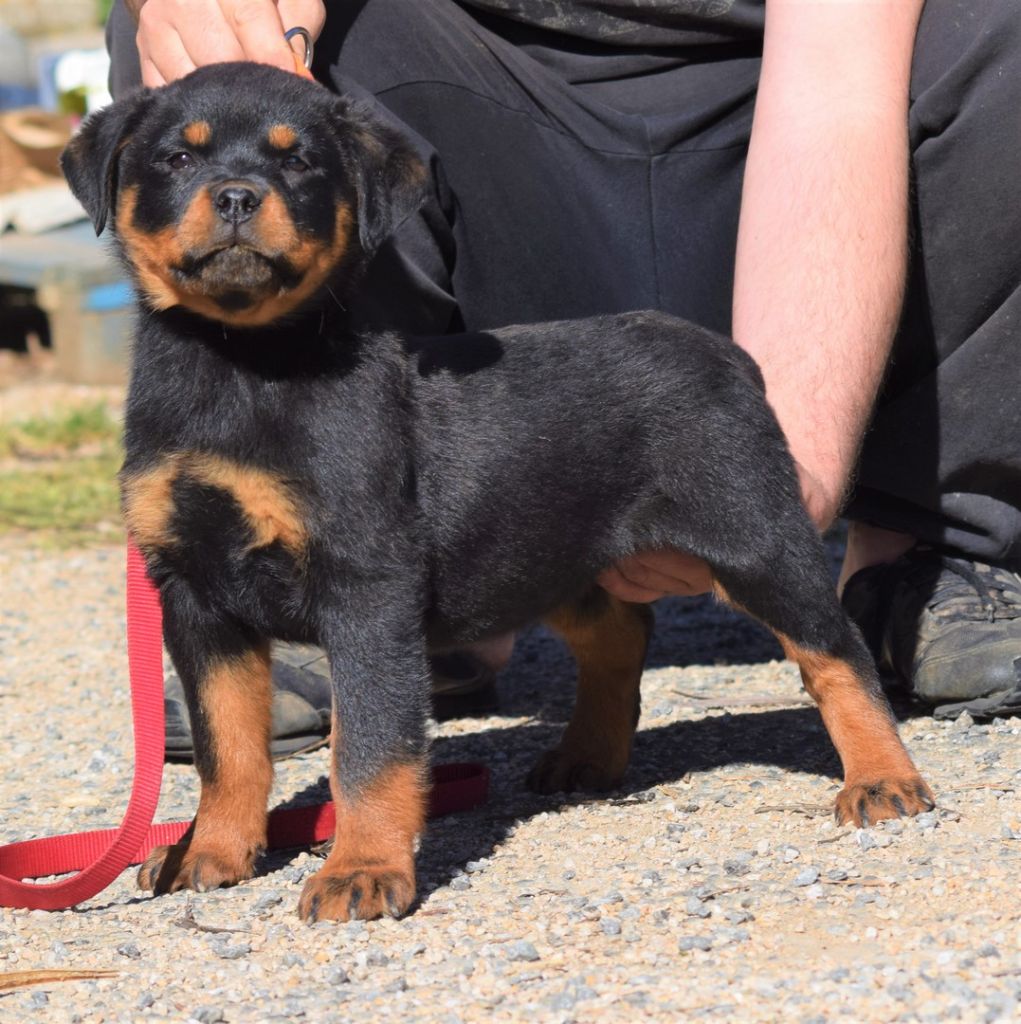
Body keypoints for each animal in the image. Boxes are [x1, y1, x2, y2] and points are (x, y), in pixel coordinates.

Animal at [61, 64, 933, 929]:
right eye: (178, 158)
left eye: (298, 161)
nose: (238, 195)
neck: (238, 363)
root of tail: (726, 354)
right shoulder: (194, 592)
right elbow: (227, 745)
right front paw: (210, 849)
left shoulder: (366, 587)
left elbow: (369, 747)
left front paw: (361, 869)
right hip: (545, 546)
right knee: (618, 631)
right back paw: (588, 755)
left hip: (750, 533)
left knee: (833, 649)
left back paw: (881, 778)